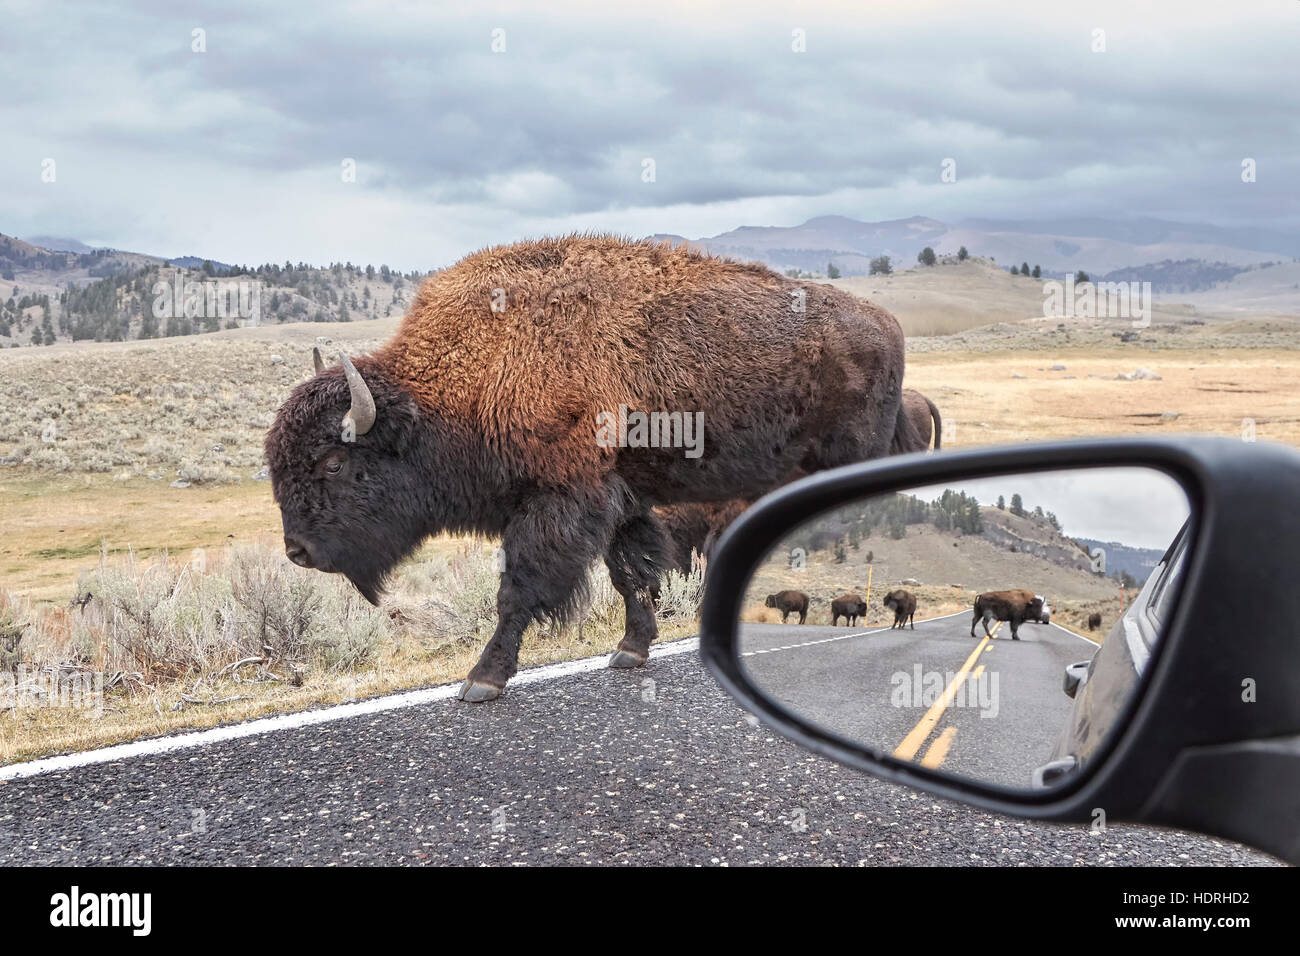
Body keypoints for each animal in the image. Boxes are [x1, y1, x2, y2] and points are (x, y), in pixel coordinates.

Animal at [266, 235, 904, 697]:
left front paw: (482, 680)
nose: (296, 550)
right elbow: (632, 576)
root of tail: (887, 324)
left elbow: (519, 590)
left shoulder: (562, 501)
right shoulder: (622, 500)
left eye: (332, 462)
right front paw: (630, 651)